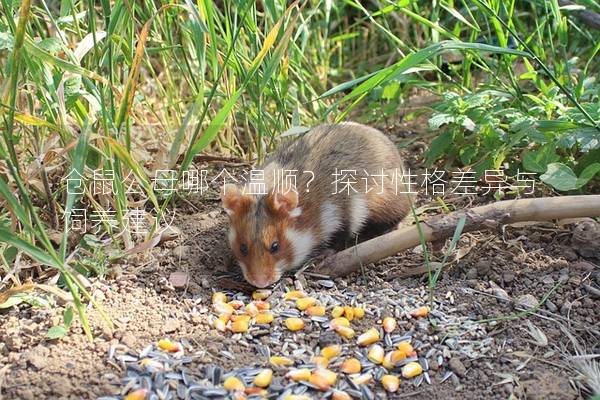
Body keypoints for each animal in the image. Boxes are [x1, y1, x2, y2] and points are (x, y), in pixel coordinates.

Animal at [220, 122, 412, 288]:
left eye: (275, 246)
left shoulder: (344, 213)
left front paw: (322, 255)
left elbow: (340, 237)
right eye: (243, 247)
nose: (259, 283)